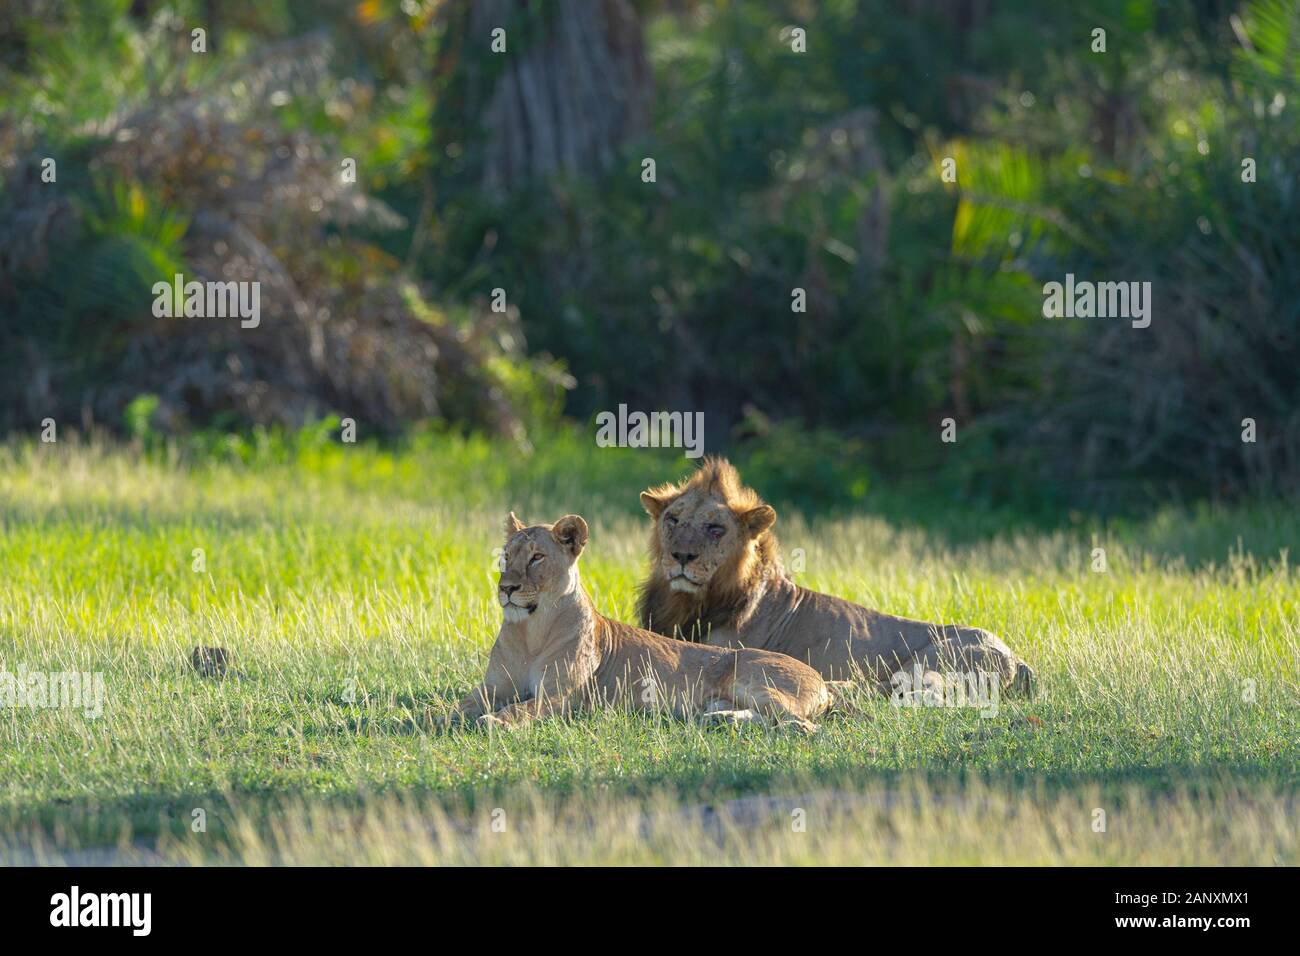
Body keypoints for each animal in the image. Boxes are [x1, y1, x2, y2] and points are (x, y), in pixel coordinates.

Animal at [444, 515, 832, 733]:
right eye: (506, 557)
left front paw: (494, 722)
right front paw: (437, 717)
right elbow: (460, 705)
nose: (506, 588)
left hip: (754, 680)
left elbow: (520, 708)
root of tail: (821, 680)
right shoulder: (492, 687)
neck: (530, 629)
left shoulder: (563, 696)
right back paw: (719, 720)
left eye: (537, 557)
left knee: (802, 724)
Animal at [634, 457, 1029, 697]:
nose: (681, 557)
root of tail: (1015, 656)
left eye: (716, 529)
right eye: (673, 520)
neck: (687, 602)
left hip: (935, 661)